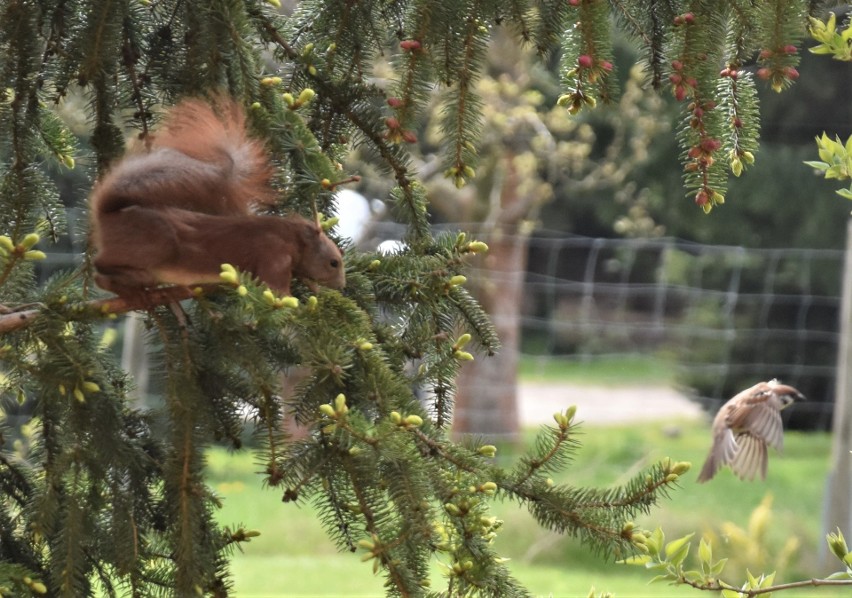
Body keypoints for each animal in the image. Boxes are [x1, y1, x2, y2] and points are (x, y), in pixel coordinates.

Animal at [90, 99, 346, 298]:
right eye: (333, 262)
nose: (341, 285)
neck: (290, 238)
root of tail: (106, 215)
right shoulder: (274, 255)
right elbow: (276, 292)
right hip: (157, 242)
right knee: (99, 266)